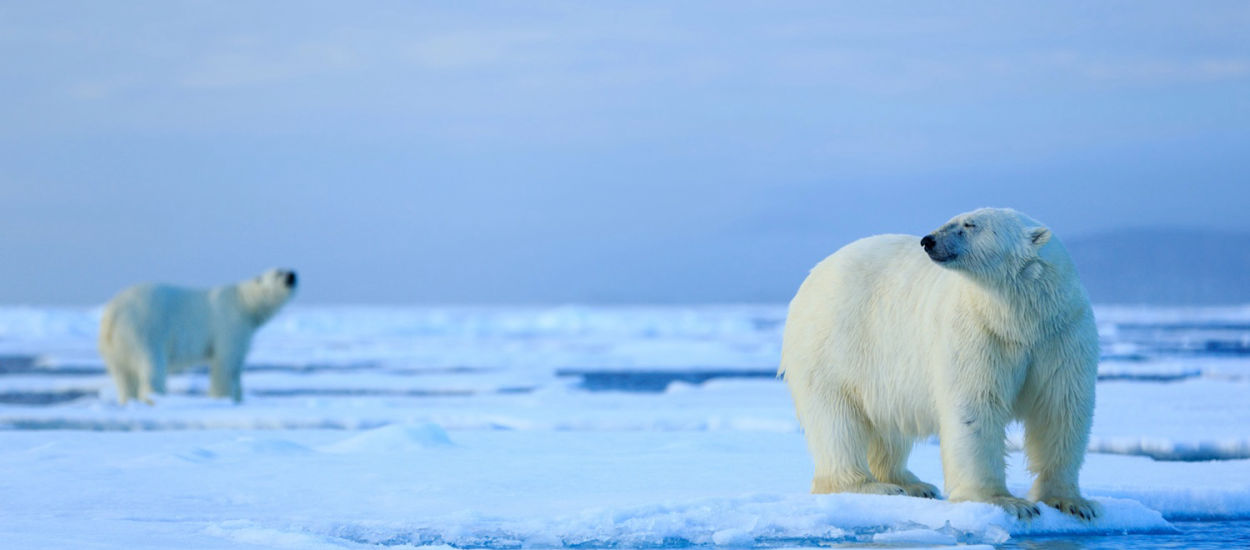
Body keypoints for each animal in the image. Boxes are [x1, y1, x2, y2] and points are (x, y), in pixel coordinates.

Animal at [98, 270, 297, 405]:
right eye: (279, 273)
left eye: (287, 270)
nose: (292, 275)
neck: (244, 304)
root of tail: (111, 315)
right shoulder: (230, 325)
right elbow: (226, 364)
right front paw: (223, 398)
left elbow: (237, 366)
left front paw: (239, 398)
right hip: (145, 329)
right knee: (152, 368)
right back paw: (156, 399)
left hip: (115, 346)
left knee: (123, 375)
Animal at [775, 206, 1100, 520]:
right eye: (952, 220)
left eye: (970, 224)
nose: (928, 240)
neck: (1019, 319)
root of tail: (814, 274)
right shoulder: (978, 331)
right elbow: (976, 406)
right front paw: (1006, 502)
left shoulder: (1061, 334)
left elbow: (1060, 408)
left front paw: (1071, 503)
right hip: (832, 346)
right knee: (836, 421)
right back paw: (870, 485)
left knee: (887, 427)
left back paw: (911, 483)